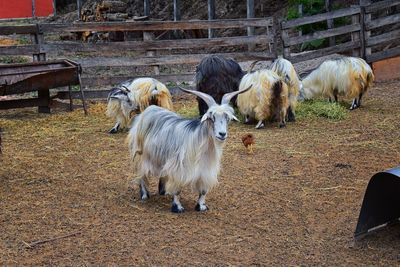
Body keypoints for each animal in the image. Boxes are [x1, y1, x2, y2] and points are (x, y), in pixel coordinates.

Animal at [127, 85, 250, 214]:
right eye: (212, 118)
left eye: (228, 119)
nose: (222, 134)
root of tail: (148, 111)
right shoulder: (178, 168)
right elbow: (177, 189)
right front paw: (177, 207)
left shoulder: (205, 170)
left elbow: (203, 190)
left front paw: (201, 206)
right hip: (140, 154)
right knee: (142, 174)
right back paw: (144, 195)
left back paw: (163, 191)